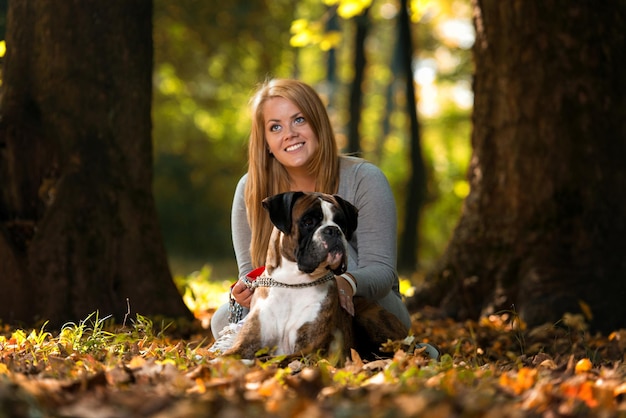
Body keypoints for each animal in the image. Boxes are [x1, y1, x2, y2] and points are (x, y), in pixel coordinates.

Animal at [221, 191, 410, 360]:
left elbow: (275, 361)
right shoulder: (244, 345)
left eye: (342, 223)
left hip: (369, 319)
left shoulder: (310, 351)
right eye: (308, 221)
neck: (292, 283)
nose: (333, 230)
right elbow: (223, 359)